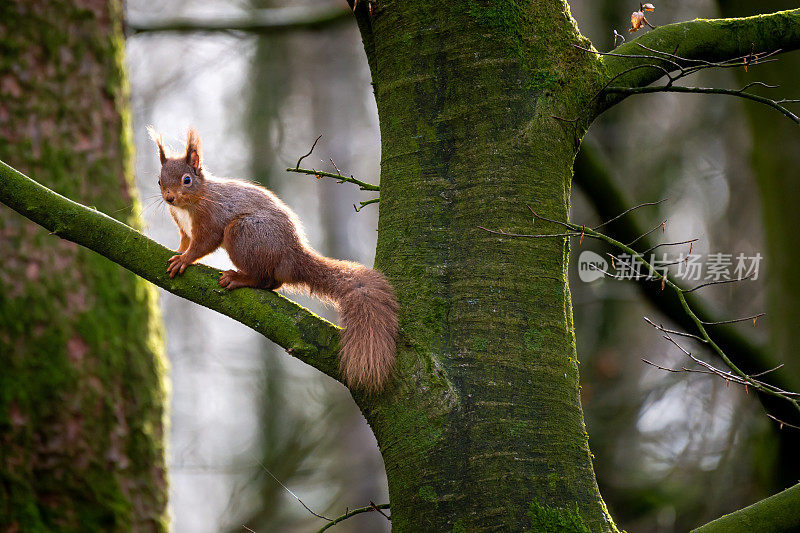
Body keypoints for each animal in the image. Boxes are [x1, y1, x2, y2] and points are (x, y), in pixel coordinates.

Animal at [148, 126, 398, 388]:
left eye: (187, 180)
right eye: (159, 180)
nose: (169, 198)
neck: (192, 202)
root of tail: (292, 256)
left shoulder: (211, 217)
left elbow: (203, 243)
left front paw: (184, 259)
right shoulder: (183, 228)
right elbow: (185, 241)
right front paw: (178, 251)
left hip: (243, 234)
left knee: (265, 278)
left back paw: (240, 278)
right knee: (273, 282)